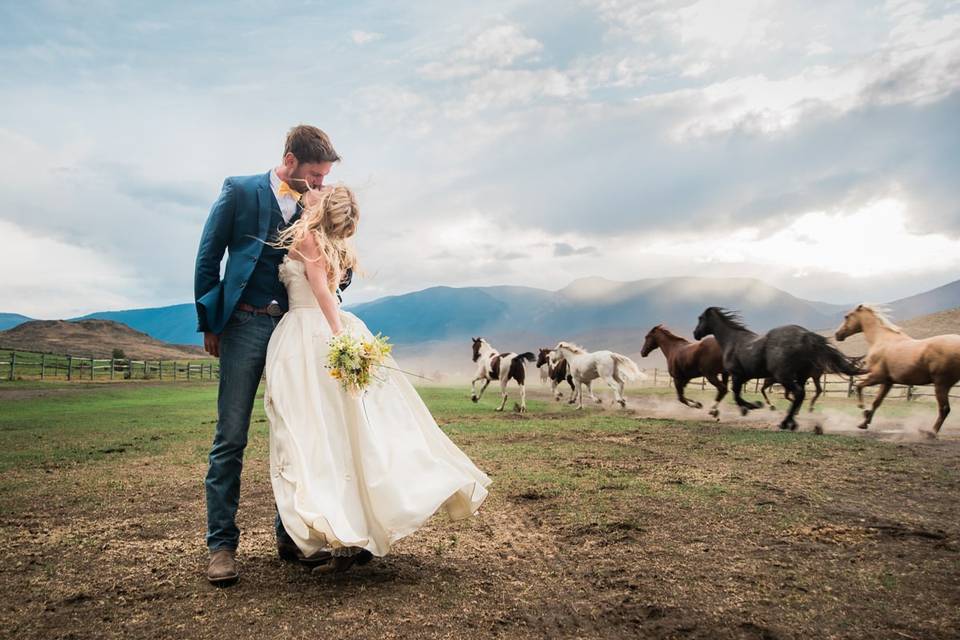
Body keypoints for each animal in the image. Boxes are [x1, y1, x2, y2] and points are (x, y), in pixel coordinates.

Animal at [688, 306, 864, 430]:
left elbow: (736, 395)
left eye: (700, 318)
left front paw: (752, 406)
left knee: (798, 393)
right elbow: (736, 394)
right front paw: (750, 407)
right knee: (801, 395)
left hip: (784, 376)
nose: (695, 333)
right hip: (800, 376)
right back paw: (791, 422)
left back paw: (785, 422)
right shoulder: (743, 377)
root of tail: (806, 335)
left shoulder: (737, 375)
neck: (732, 340)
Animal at [832, 304, 960, 436]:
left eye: (846, 316)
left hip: (941, 384)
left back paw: (931, 432)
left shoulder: (877, 377)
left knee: (944, 408)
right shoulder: (888, 382)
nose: (837, 334)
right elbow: (877, 402)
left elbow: (858, 386)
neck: (881, 339)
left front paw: (862, 407)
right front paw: (864, 423)